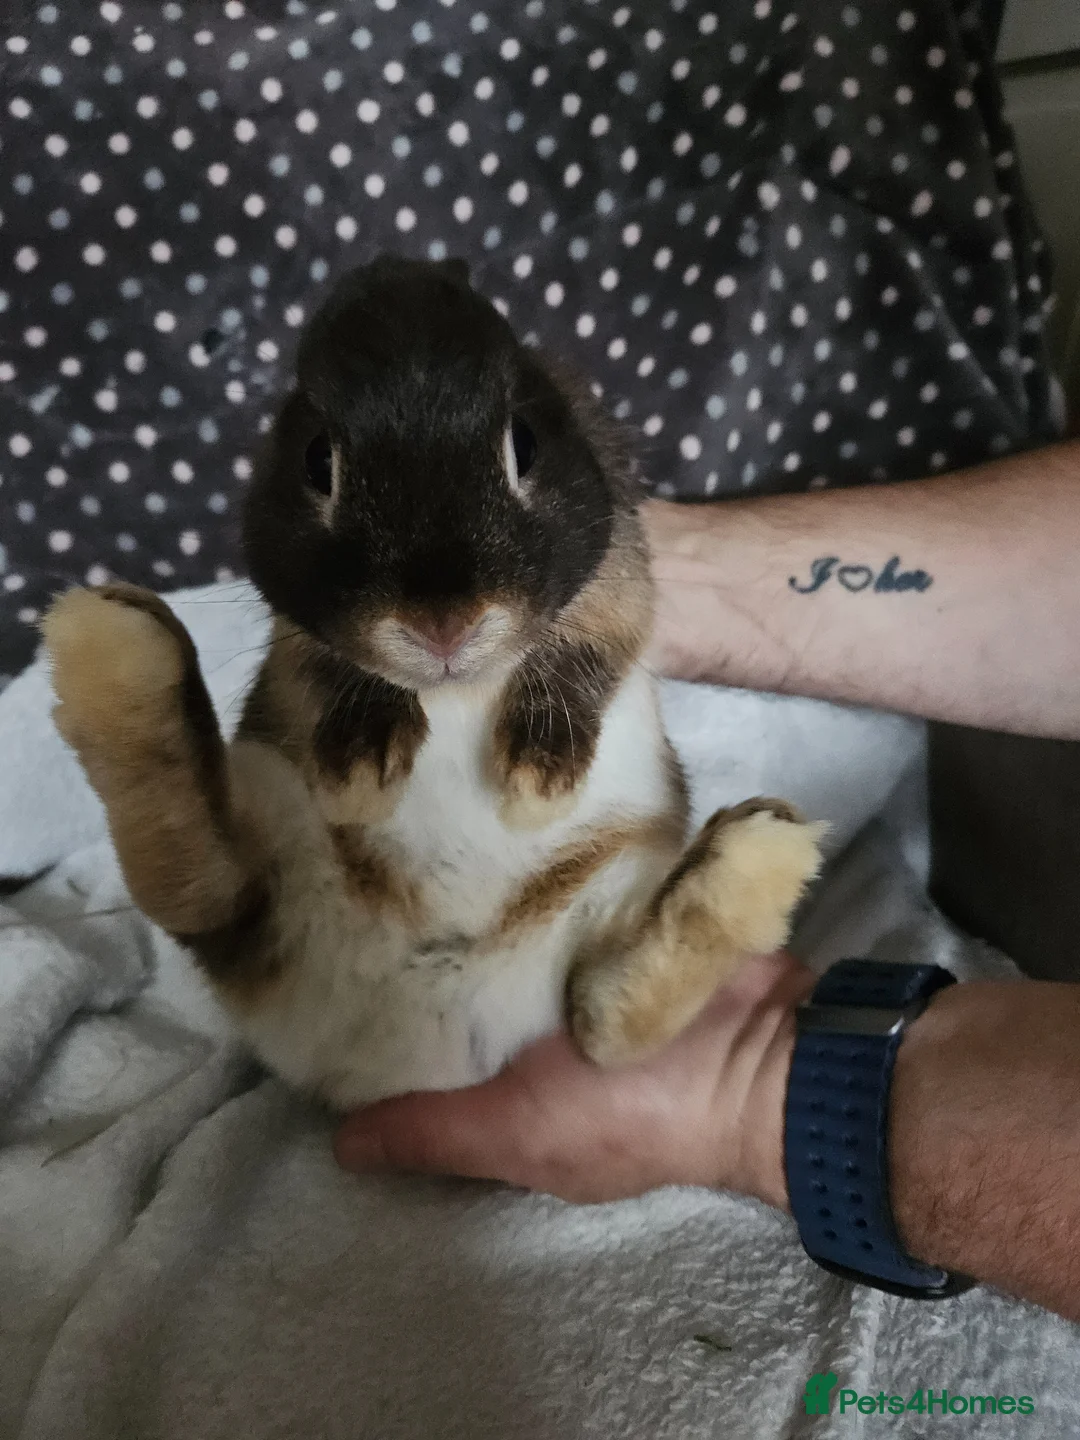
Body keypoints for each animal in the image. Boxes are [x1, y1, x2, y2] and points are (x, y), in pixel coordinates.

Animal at [40, 256, 824, 1110]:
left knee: (605, 1021)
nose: (442, 623)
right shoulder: (302, 631)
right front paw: (360, 772)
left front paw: (536, 779)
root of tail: (427, 1041)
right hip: (282, 843)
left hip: (605, 895)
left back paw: (755, 855)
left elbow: (579, 657)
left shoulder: (619, 583)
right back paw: (113, 649)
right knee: (205, 888)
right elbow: (342, 671)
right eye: (318, 460)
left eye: (524, 444)